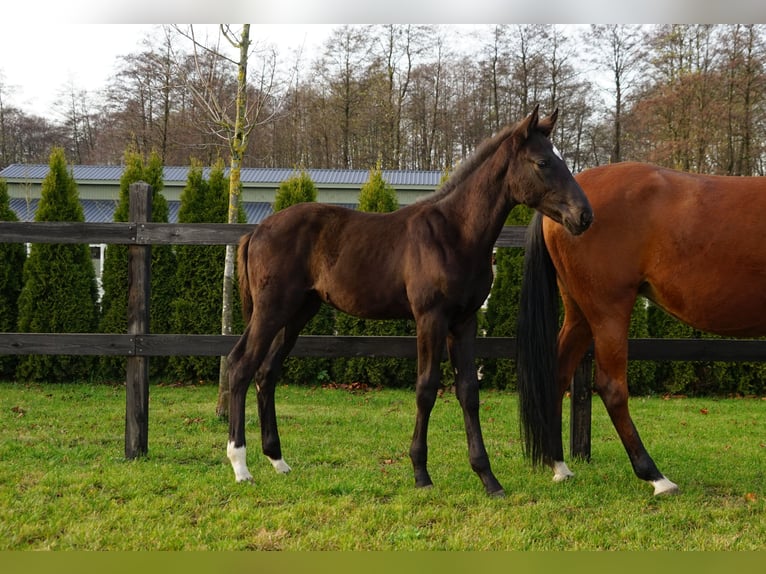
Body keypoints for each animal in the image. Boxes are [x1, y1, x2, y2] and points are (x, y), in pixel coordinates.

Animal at [225, 105, 593, 496]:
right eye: (542, 162)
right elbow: (426, 388)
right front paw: (421, 473)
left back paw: (278, 460)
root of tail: (256, 231)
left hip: (297, 313)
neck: (455, 233)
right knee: (241, 366)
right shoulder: (430, 318)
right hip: (271, 310)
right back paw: (240, 465)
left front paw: (488, 477)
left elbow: (468, 392)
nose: (584, 215)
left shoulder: (465, 321)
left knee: (266, 372)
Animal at [517, 160, 766, 495]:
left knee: (556, 376)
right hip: (608, 311)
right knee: (612, 388)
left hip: (579, 315)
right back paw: (655, 476)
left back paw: (559, 465)